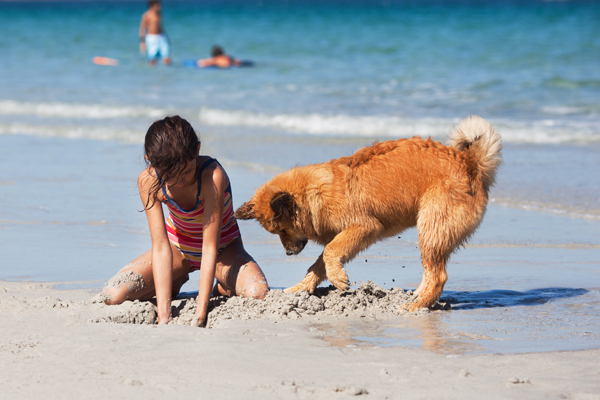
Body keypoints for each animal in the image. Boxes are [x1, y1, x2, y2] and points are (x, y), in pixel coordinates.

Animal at [234, 114, 502, 310]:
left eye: (282, 229)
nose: (288, 253)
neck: (314, 193)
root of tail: (469, 162)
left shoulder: (364, 227)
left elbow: (329, 253)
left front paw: (337, 280)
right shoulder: (348, 236)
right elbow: (319, 264)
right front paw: (300, 289)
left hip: (431, 228)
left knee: (438, 276)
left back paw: (415, 307)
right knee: (432, 273)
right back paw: (416, 297)